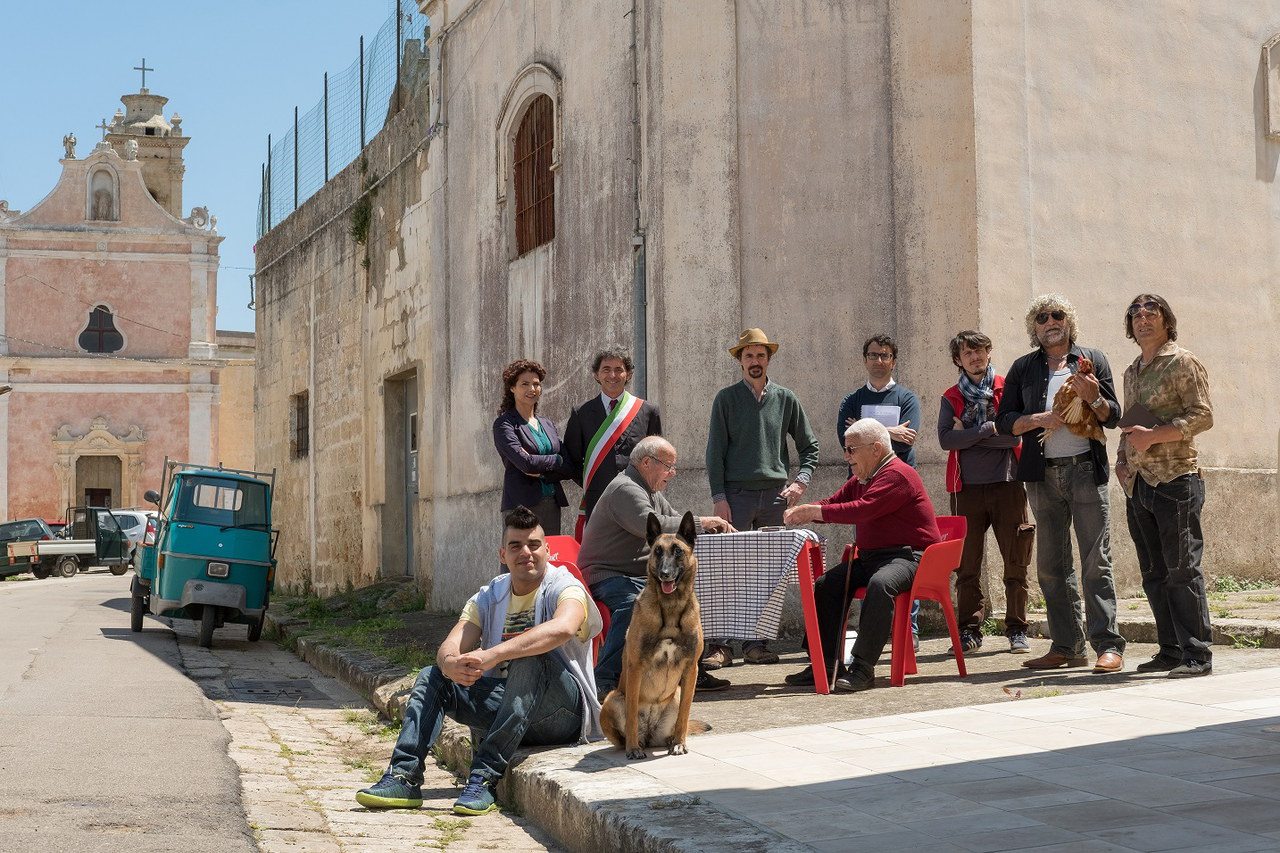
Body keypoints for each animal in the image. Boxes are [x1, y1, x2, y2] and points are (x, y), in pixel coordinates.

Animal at [596, 507, 701, 753]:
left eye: (678, 551)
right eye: (657, 551)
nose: (664, 573)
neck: (670, 609)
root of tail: (651, 734)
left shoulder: (691, 669)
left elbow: (684, 715)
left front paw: (680, 743)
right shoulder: (636, 667)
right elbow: (632, 714)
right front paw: (633, 748)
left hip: (678, 692)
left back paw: (671, 741)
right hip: (612, 698)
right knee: (622, 730)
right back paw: (633, 744)